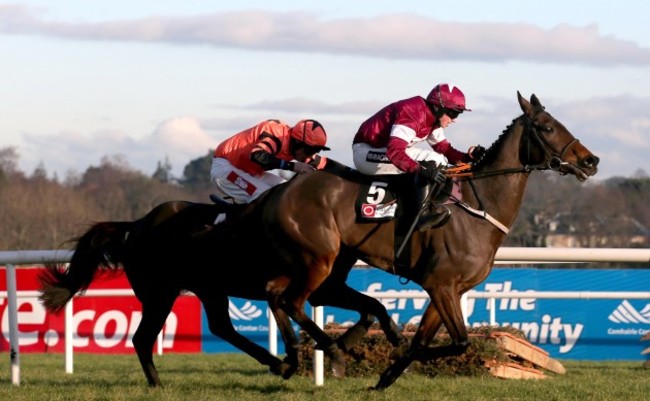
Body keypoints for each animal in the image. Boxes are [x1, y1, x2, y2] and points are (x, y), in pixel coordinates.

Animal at [248, 93, 596, 388]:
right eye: (548, 127)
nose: (591, 160)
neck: (479, 206)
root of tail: (279, 190)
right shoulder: (440, 284)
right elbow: (459, 342)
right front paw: (394, 354)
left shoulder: (450, 288)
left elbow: (424, 341)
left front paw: (386, 375)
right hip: (317, 258)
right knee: (291, 301)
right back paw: (330, 352)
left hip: (335, 259)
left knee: (304, 296)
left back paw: (322, 349)